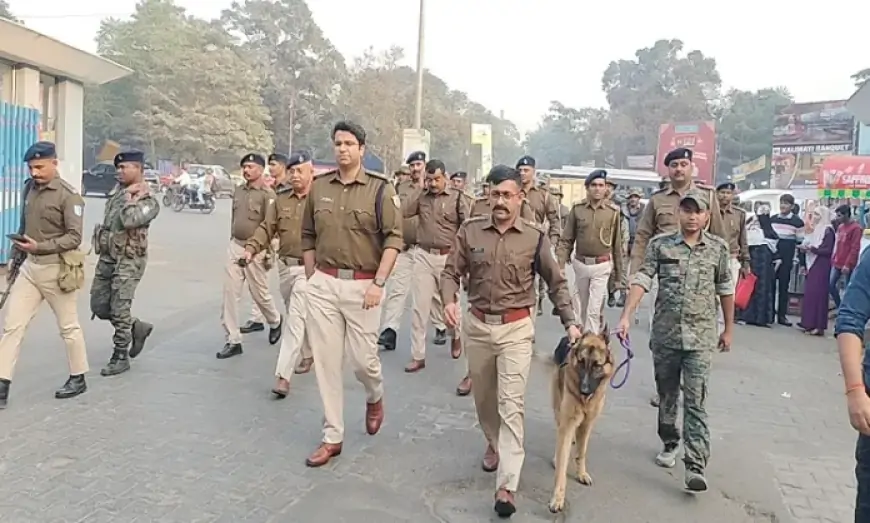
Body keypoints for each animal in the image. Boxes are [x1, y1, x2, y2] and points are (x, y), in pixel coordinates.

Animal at [548, 330, 616, 512]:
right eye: (581, 362)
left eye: (597, 365)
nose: (584, 391)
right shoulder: (567, 423)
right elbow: (562, 465)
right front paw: (558, 497)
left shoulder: (587, 425)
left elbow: (581, 452)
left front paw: (581, 474)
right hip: (558, 408)